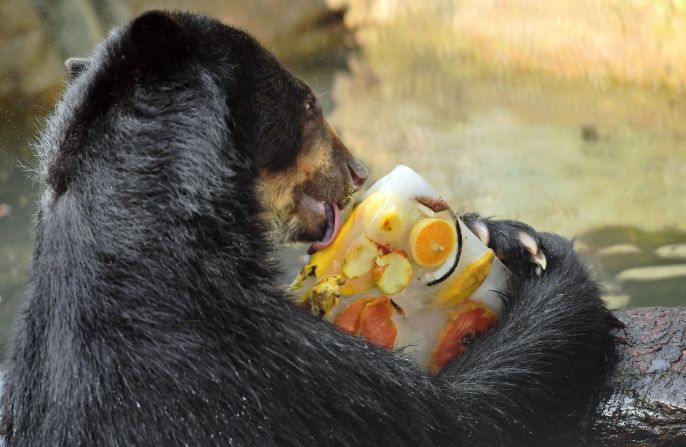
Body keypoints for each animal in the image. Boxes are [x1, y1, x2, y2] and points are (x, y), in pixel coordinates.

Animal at [0, 10, 620, 447]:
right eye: (308, 102)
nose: (358, 170)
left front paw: (504, 236)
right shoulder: (255, 376)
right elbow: (465, 417)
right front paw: (550, 261)